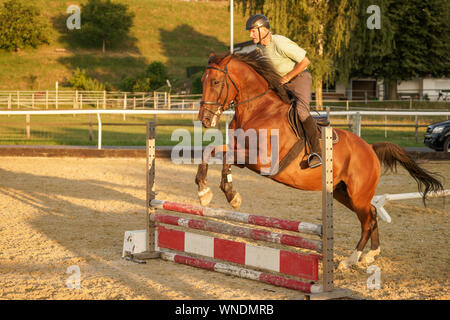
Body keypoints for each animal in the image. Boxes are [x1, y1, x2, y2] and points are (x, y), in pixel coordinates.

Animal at [194, 51, 442, 268]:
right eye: (203, 81)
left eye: (216, 82)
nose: (205, 120)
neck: (258, 109)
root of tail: (370, 149)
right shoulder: (239, 150)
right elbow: (211, 151)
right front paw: (204, 192)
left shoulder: (262, 161)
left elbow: (226, 157)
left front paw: (231, 195)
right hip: (344, 193)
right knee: (371, 213)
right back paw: (371, 255)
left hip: (357, 194)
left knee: (367, 221)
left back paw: (351, 260)